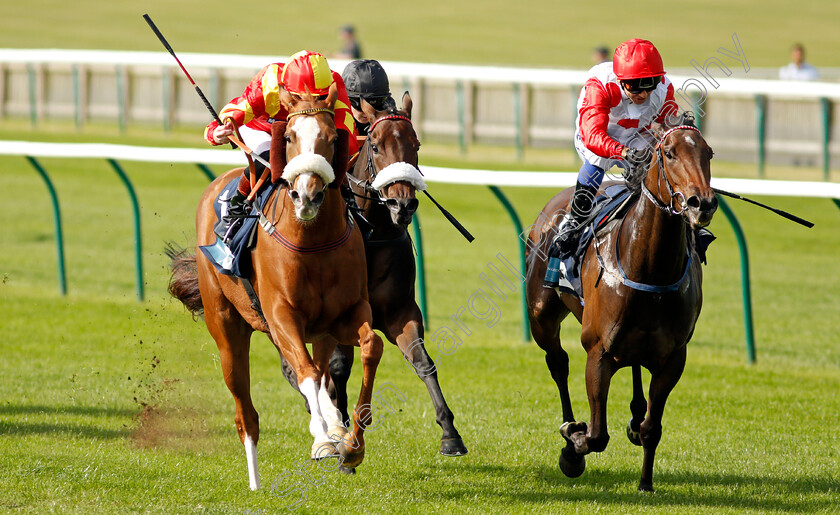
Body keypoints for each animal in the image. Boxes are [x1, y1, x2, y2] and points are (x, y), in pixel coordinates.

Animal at [168, 85, 384, 492]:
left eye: (333, 139)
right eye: (289, 137)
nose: (307, 196)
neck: (313, 241)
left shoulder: (345, 315)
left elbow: (369, 346)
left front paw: (351, 444)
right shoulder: (282, 315)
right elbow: (307, 374)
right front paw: (324, 435)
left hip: (310, 332)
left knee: (317, 369)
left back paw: (333, 430)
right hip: (228, 327)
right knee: (247, 411)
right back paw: (256, 478)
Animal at [278, 92, 470, 456]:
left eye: (416, 144)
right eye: (377, 146)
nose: (402, 205)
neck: (372, 235)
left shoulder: (400, 312)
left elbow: (423, 361)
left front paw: (450, 433)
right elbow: (336, 367)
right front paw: (338, 425)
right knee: (295, 367)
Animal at [524, 120, 716, 492]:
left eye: (708, 153)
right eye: (669, 152)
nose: (703, 203)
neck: (650, 268)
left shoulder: (674, 358)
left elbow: (652, 429)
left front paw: (645, 483)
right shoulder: (598, 351)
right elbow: (597, 435)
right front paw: (572, 448)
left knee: (636, 369)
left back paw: (635, 416)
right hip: (541, 315)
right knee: (558, 362)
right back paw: (569, 425)